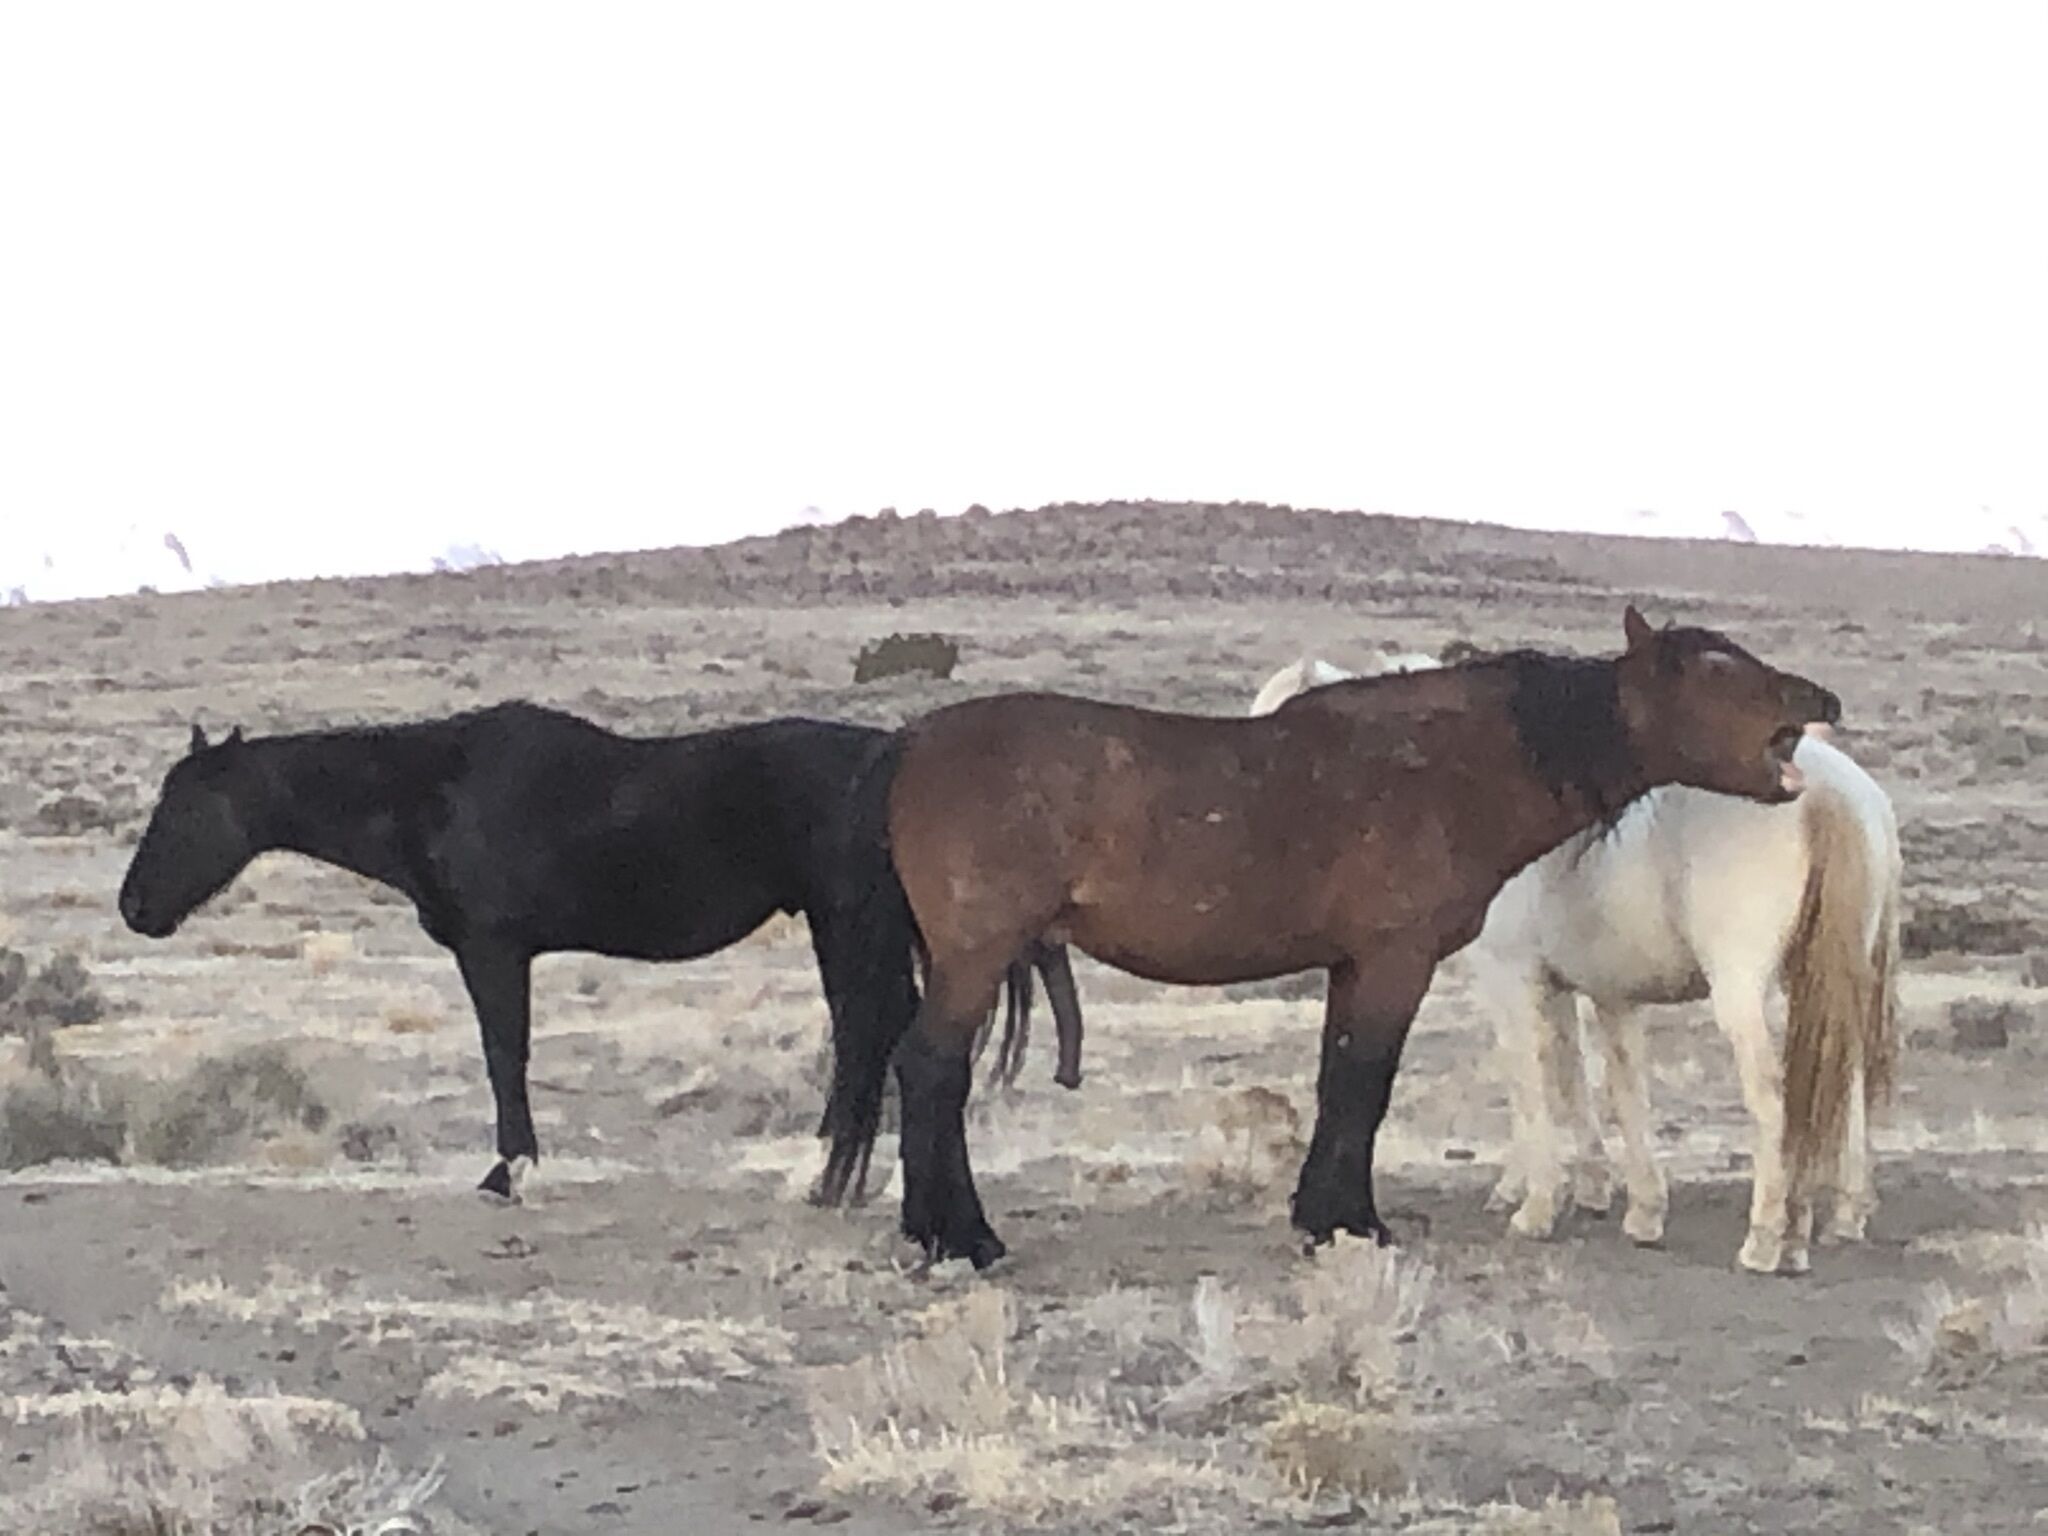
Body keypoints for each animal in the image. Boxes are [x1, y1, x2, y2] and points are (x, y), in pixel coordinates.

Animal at [116, 701, 1076, 1201]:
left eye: (185, 810)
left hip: (846, 924)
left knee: (869, 1032)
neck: (435, 788)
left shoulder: (493, 951)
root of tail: (894, 757)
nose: (133, 908)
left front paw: (508, 1171)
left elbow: (504, 1055)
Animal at [816, 606, 1841, 1268]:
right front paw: (1355, 1226)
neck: (1446, 769)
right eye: (1714, 668)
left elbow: (1339, 1082)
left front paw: (1322, 1217)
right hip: (974, 957)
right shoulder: (1394, 961)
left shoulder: (1353, 965)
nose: (1821, 699)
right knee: (932, 1072)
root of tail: (908, 743)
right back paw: (962, 1238)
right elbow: (1363, 1087)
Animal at [1252, 656, 1901, 1276]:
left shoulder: (1511, 978)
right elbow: (1594, 1080)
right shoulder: (1588, 989)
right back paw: (1844, 1214)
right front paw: (1620, 1199)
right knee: (1845, 1080)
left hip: (1741, 991)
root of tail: (1826, 792)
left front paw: (1535, 1203)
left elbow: (1530, 1077)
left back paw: (1768, 1240)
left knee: (1773, 1096)